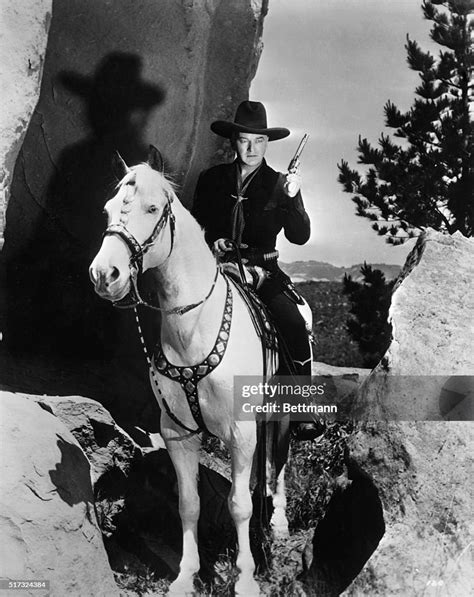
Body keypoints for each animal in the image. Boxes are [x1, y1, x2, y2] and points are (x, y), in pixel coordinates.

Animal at [89, 146, 288, 596]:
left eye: (151, 208)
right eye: (108, 209)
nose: (104, 275)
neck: (195, 327)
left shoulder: (241, 432)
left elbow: (239, 504)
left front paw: (245, 578)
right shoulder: (178, 433)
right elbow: (189, 503)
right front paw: (186, 575)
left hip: (280, 419)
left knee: (277, 469)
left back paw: (280, 528)